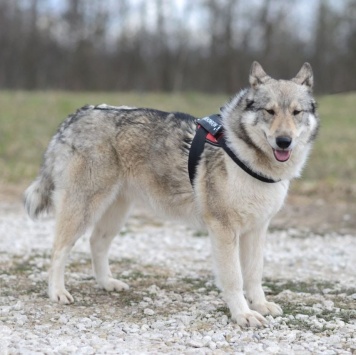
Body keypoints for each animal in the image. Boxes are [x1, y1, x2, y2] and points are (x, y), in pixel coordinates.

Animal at [25, 62, 320, 328]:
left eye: (296, 112)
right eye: (270, 111)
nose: (284, 141)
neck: (246, 159)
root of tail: (76, 115)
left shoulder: (257, 229)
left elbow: (255, 275)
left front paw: (260, 305)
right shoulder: (224, 230)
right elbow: (235, 279)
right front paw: (243, 315)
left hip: (115, 213)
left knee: (96, 243)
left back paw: (107, 283)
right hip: (84, 209)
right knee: (58, 250)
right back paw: (57, 292)